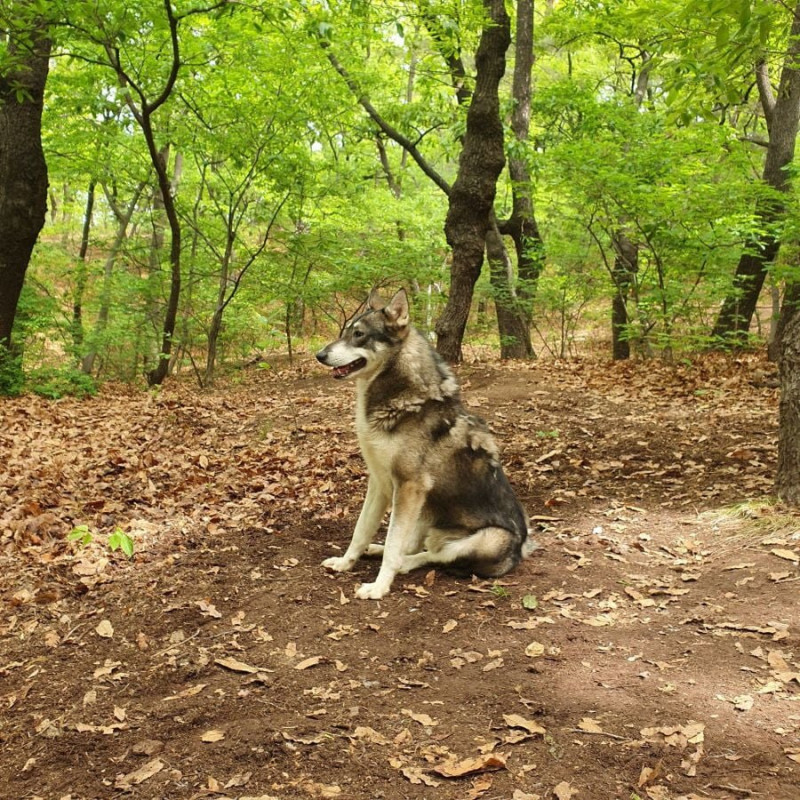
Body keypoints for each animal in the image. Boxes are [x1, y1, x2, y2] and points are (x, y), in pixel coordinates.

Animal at [316, 290, 536, 596]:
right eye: (345, 332)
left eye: (359, 334)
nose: (320, 355)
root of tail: (521, 550)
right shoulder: (380, 483)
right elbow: (361, 531)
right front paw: (345, 562)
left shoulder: (408, 486)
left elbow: (394, 545)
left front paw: (379, 587)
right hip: (424, 514)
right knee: (415, 546)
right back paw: (377, 549)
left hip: (485, 538)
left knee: (432, 556)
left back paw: (402, 564)